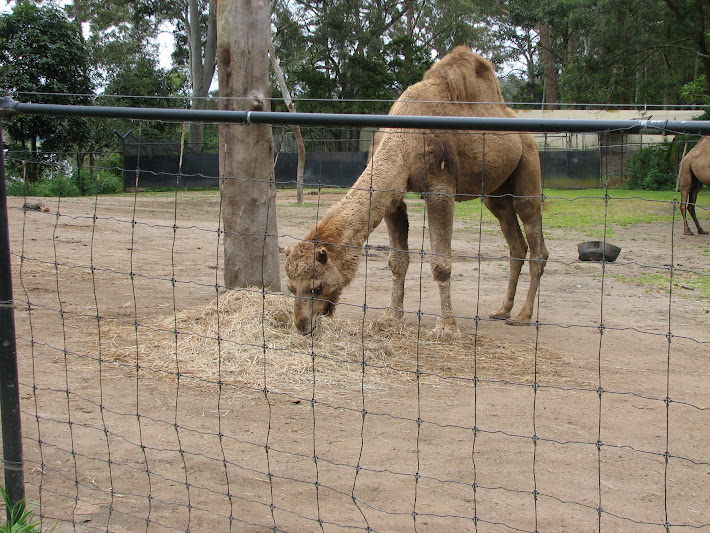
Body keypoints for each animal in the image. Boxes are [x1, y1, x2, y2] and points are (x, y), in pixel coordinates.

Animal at [284, 46, 548, 335]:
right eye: (290, 287)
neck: (404, 137)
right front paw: (391, 316)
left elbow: (441, 264)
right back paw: (502, 310)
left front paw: (446, 326)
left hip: (529, 162)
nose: (302, 324)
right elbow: (397, 261)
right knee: (516, 242)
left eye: (316, 286)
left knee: (534, 234)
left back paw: (523, 315)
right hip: (497, 194)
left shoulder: (441, 187)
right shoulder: (393, 194)